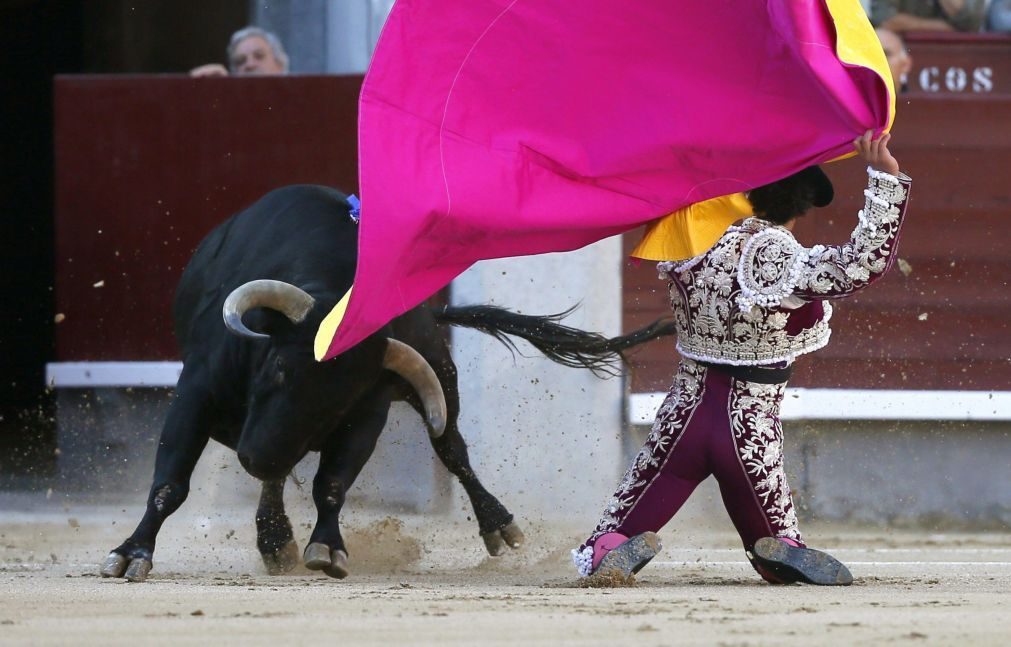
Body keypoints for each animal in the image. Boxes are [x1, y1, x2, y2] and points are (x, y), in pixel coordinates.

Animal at [100, 186, 671, 582]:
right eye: (280, 368)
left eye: (338, 403)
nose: (255, 456)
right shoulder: (195, 392)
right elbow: (169, 484)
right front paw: (130, 555)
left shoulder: (366, 414)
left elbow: (332, 484)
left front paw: (326, 548)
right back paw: (273, 539)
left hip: (442, 379)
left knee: (452, 449)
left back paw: (496, 523)